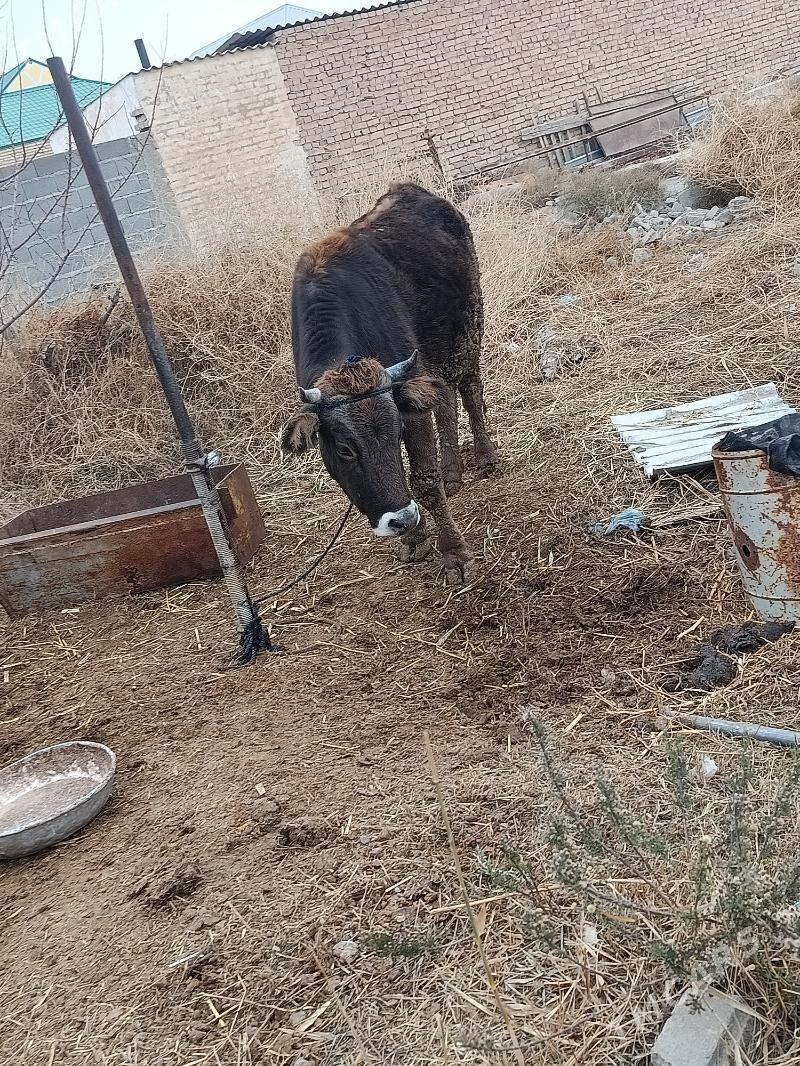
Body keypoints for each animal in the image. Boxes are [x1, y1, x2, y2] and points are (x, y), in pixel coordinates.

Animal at [280, 183, 498, 583]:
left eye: (396, 432)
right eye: (345, 449)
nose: (401, 520)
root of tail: (414, 191)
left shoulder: (411, 411)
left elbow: (424, 482)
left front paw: (454, 554)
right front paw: (414, 539)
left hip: (467, 331)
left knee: (470, 391)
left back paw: (486, 457)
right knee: (445, 400)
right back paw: (453, 474)